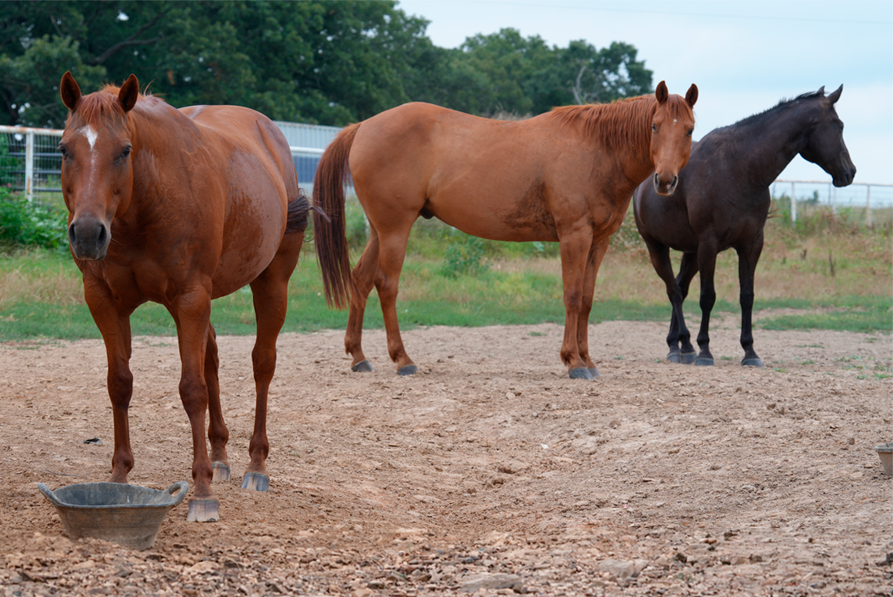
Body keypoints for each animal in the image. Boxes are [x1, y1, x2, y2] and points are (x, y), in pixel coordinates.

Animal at [58, 72, 313, 522]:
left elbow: (192, 390)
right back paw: (221, 456)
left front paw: (203, 491)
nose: (87, 233)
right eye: (65, 148)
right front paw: (119, 476)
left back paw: (255, 465)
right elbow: (119, 383)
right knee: (211, 359)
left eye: (124, 150)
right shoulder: (104, 301)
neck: (143, 205)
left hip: (271, 282)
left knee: (262, 364)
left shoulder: (190, 299)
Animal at [313, 81, 698, 380]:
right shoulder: (574, 236)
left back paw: (359, 357)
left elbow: (587, 301)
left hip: (380, 231)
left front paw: (588, 360)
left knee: (361, 279)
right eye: (655, 126)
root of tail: (363, 126)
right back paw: (403, 360)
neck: (597, 149)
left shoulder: (598, 242)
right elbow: (572, 296)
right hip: (395, 228)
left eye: (690, 129)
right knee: (386, 284)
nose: (665, 180)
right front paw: (573, 362)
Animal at [633, 86, 856, 368]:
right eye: (839, 125)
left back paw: (679, 345)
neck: (740, 168)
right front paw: (705, 351)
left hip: (691, 252)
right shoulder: (709, 245)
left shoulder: (751, 244)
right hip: (657, 247)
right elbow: (708, 297)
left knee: (680, 288)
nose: (850, 172)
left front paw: (750, 351)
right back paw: (683, 346)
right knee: (673, 290)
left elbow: (747, 296)